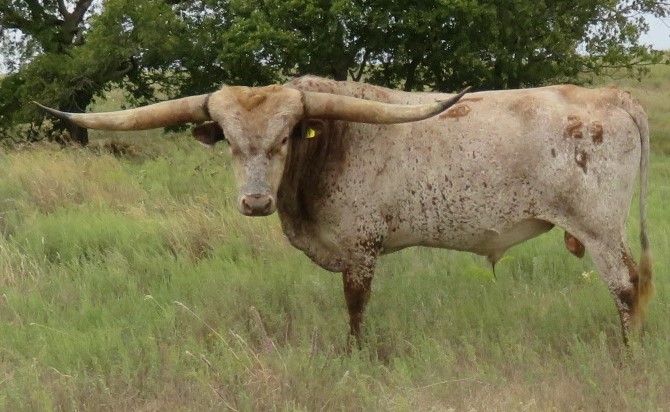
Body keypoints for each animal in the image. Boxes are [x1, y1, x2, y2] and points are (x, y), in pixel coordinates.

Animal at [36, 76, 652, 346]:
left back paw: (626, 351)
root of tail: (614, 96)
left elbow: (355, 310)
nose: (255, 201)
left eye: (286, 137)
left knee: (626, 286)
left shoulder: (360, 249)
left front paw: (356, 356)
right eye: (230, 141)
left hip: (600, 228)